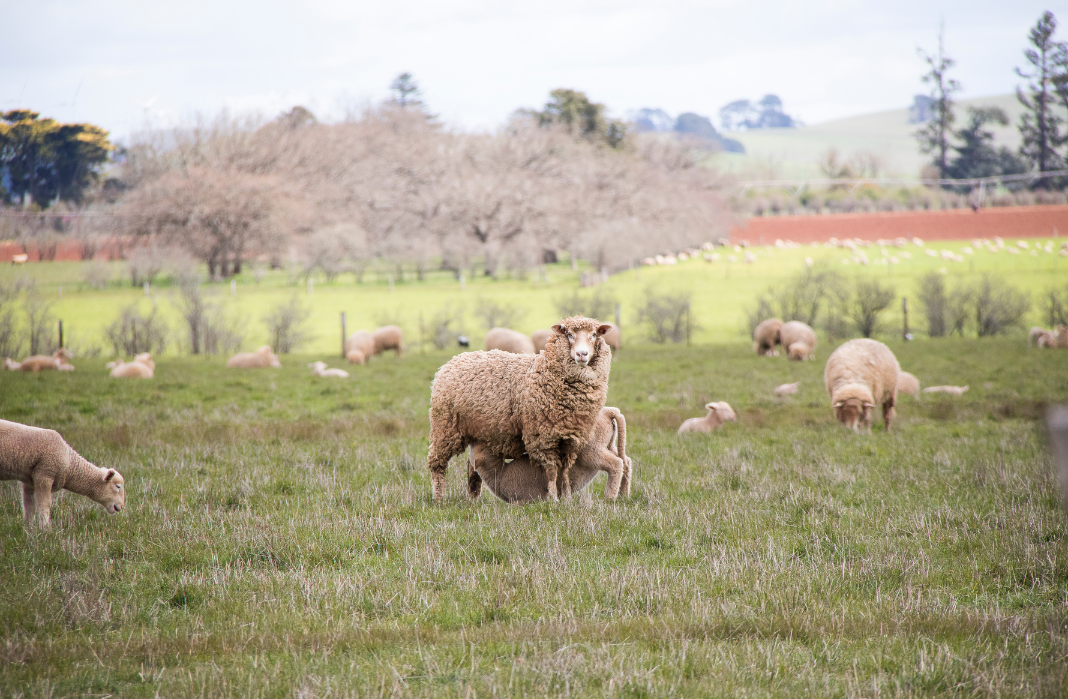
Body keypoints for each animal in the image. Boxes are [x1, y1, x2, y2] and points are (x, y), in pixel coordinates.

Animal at [422, 316, 610, 504]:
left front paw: (567, 499)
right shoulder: (542, 438)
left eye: (594, 335)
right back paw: (439, 497)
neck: (543, 371)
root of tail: (454, 360)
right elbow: (551, 471)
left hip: (478, 431)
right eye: (569, 334)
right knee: (436, 463)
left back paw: (473, 496)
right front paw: (552, 499)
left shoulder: (570, 440)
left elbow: (564, 472)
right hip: (445, 427)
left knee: (471, 464)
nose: (581, 354)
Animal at [463, 406, 627, 504]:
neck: (501, 474)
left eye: (483, 447)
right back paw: (623, 493)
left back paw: (609, 497)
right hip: (608, 444)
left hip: (593, 450)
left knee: (616, 463)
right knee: (626, 461)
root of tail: (608, 411)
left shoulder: (525, 498)